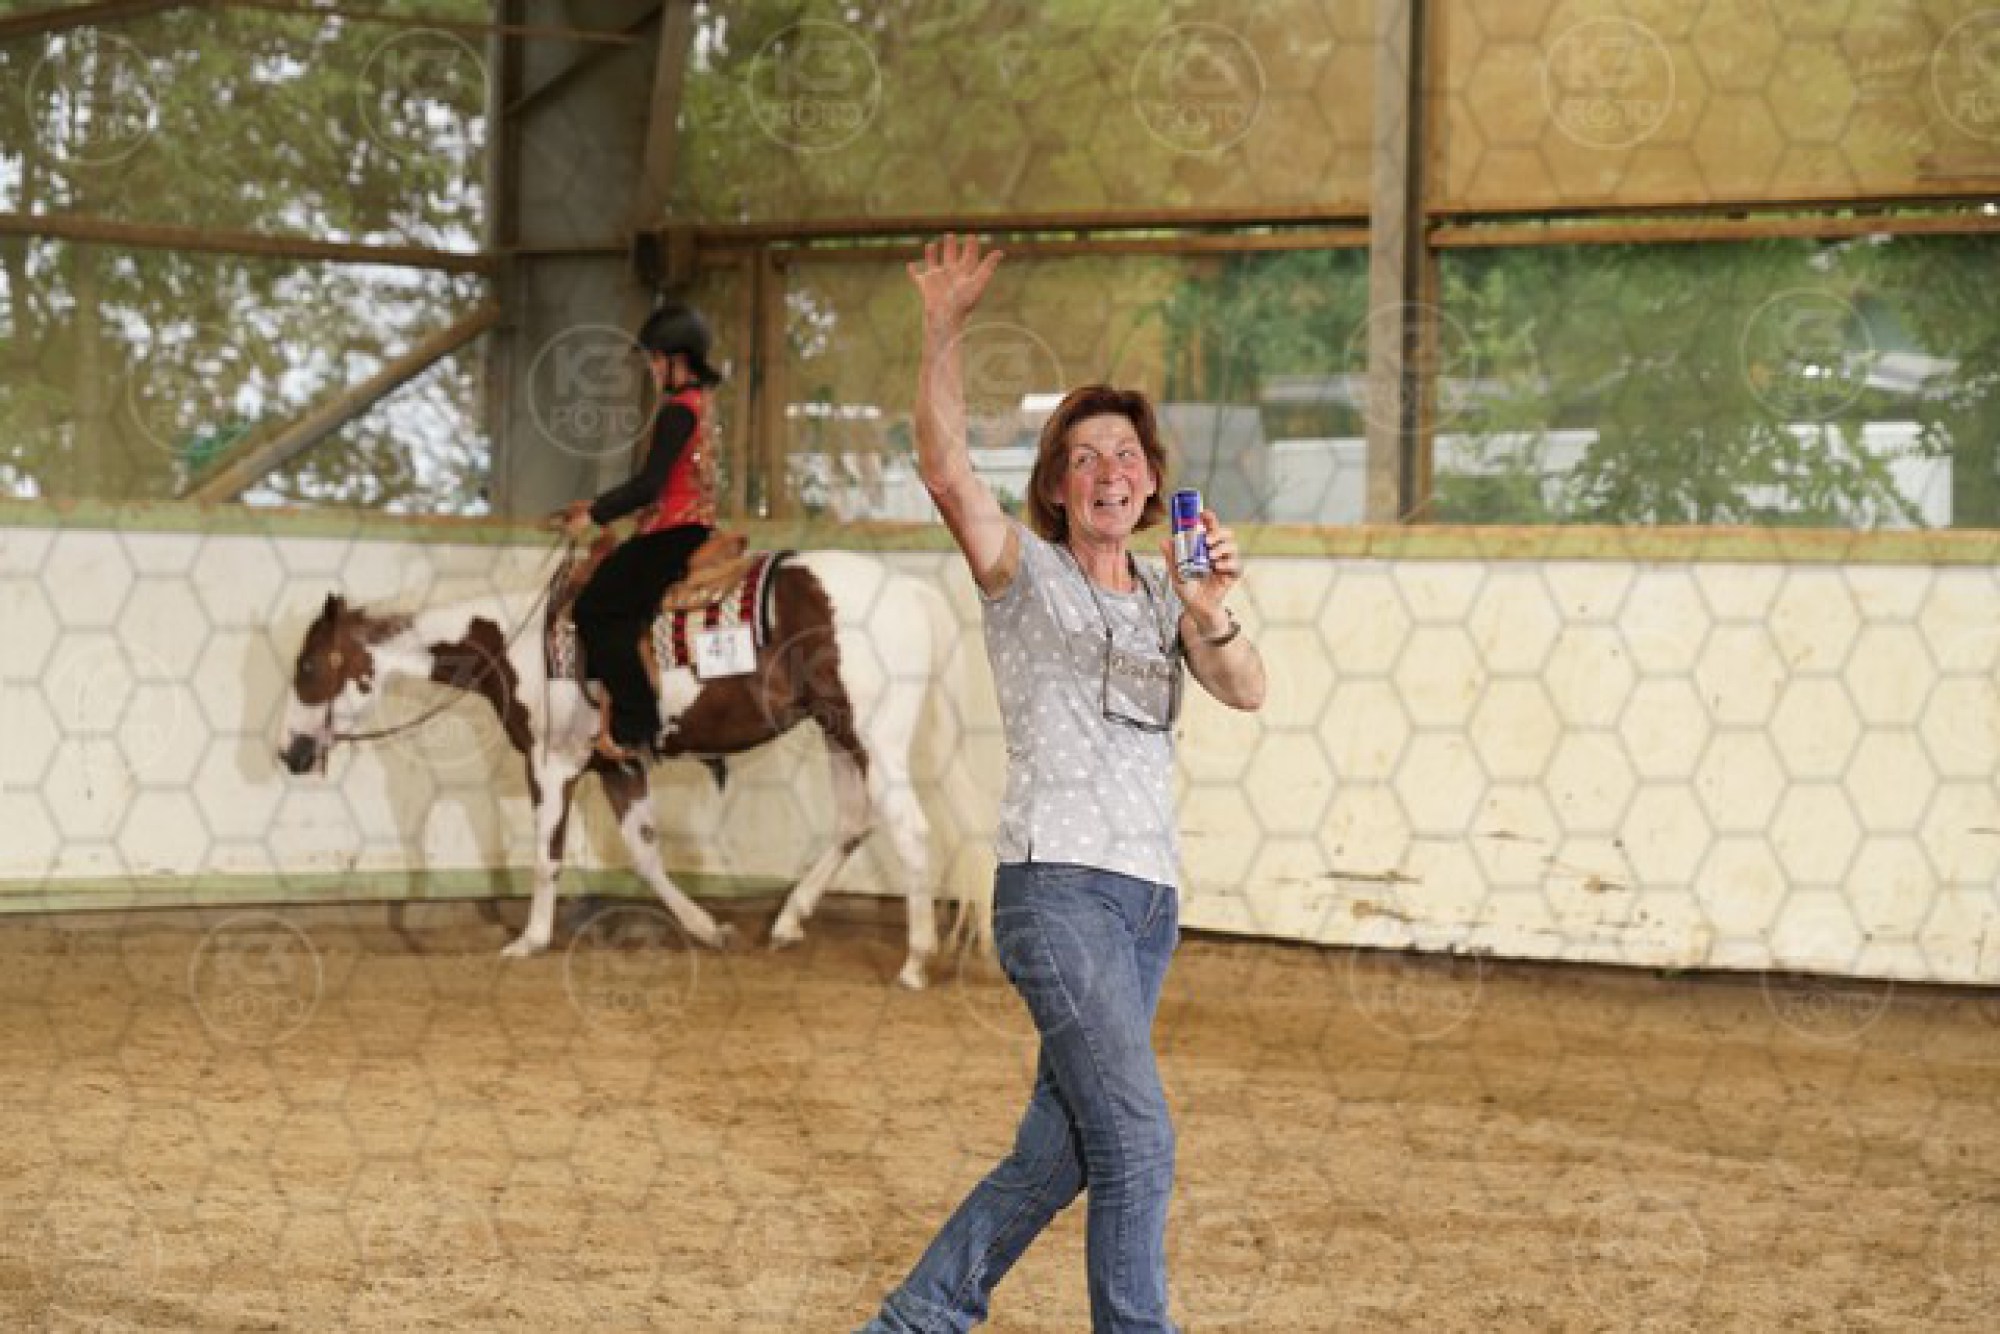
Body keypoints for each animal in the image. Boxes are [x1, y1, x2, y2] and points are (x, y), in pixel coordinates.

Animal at [277, 548, 952, 989]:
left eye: (308, 667)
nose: (289, 751)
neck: (512, 642)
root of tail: (912, 590)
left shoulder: (551, 764)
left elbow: (546, 856)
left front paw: (529, 940)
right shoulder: (616, 766)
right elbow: (646, 854)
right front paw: (707, 929)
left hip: (874, 740)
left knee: (911, 829)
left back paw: (917, 961)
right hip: (841, 736)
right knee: (853, 824)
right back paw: (788, 922)